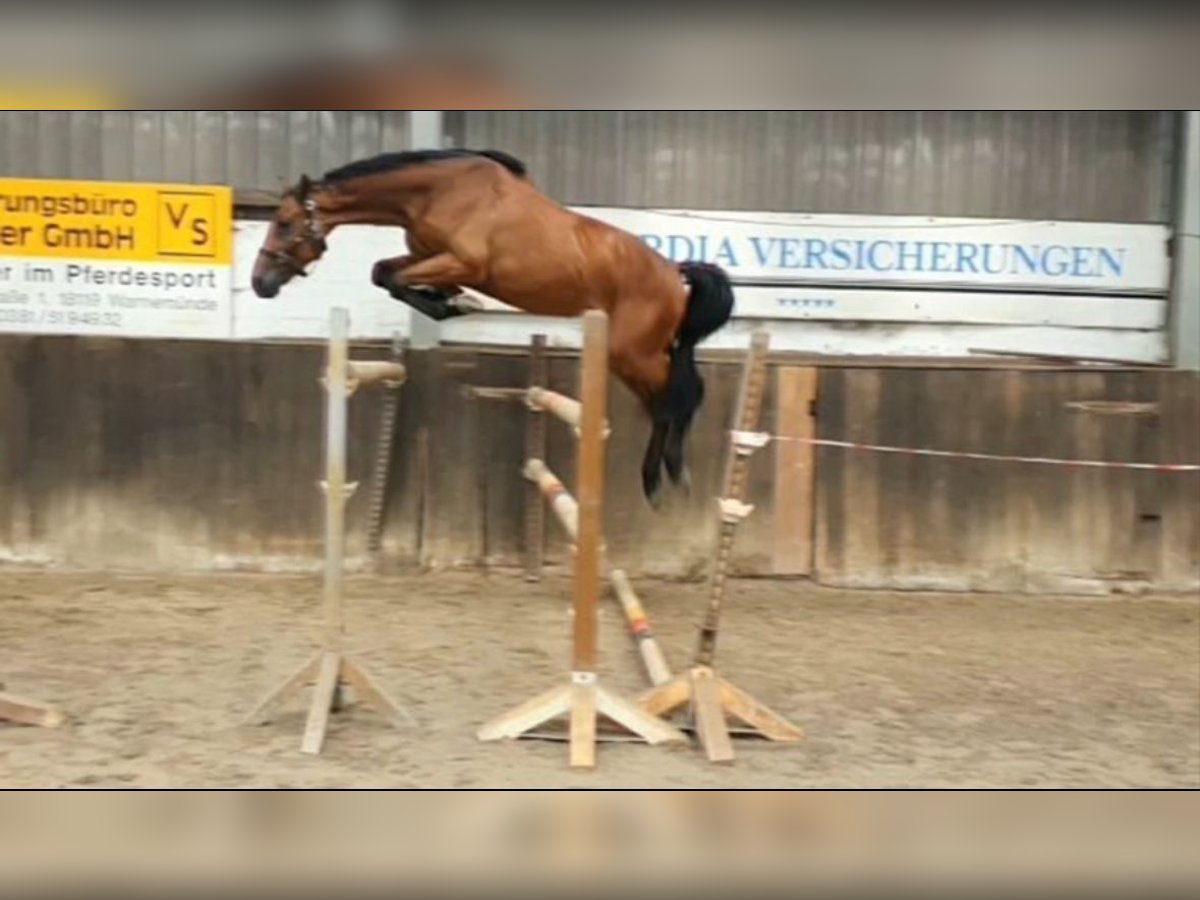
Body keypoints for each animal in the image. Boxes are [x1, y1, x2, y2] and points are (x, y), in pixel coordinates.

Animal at [252, 144, 734, 504]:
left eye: (285, 223)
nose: (260, 283)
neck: (437, 191)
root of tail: (675, 275)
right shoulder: (428, 257)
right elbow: (383, 272)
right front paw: (449, 301)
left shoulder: (461, 262)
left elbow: (396, 278)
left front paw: (455, 305)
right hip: (638, 355)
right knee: (666, 401)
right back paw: (659, 478)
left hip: (633, 352)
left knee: (680, 398)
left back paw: (668, 475)